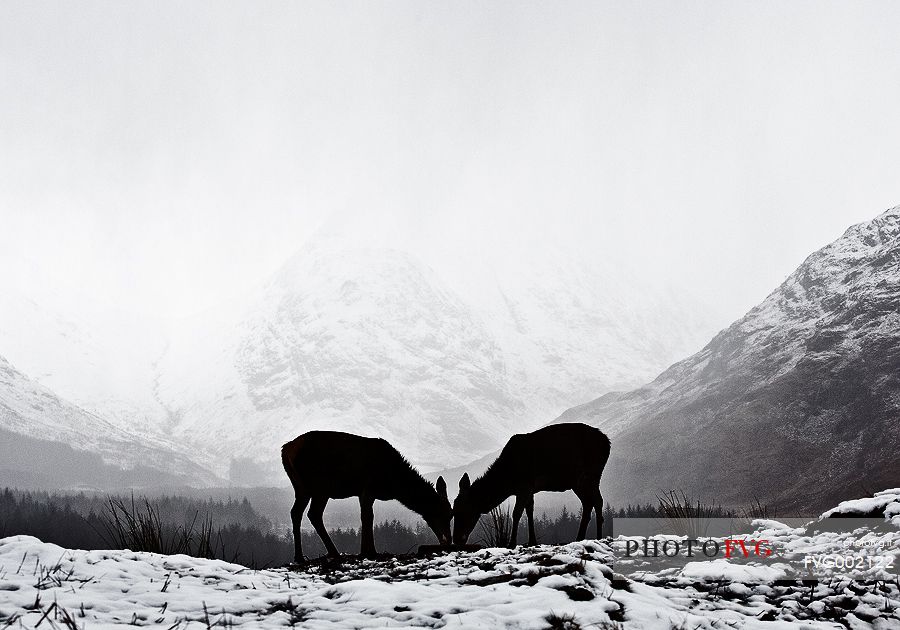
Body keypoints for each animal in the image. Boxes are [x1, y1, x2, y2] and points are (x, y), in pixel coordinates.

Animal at [280, 430, 450, 564]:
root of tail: (286, 450)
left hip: (302, 488)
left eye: (451, 515)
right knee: (313, 514)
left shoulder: (365, 493)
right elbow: (368, 517)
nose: (448, 541)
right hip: (320, 487)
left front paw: (366, 550)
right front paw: (369, 551)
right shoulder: (368, 489)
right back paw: (333, 553)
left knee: (296, 513)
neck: (394, 484)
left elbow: (366, 517)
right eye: (443, 514)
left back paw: (299, 557)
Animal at [454, 424, 608, 548]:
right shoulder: (529, 489)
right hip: (579, 481)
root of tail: (608, 442)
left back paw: (598, 536)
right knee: (589, 502)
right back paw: (580, 537)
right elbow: (529, 512)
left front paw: (511, 543)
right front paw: (532, 541)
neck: (507, 480)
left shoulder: (524, 486)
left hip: (591, 474)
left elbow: (516, 513)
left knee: (597, 501)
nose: (456, 539)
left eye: (462, 511)